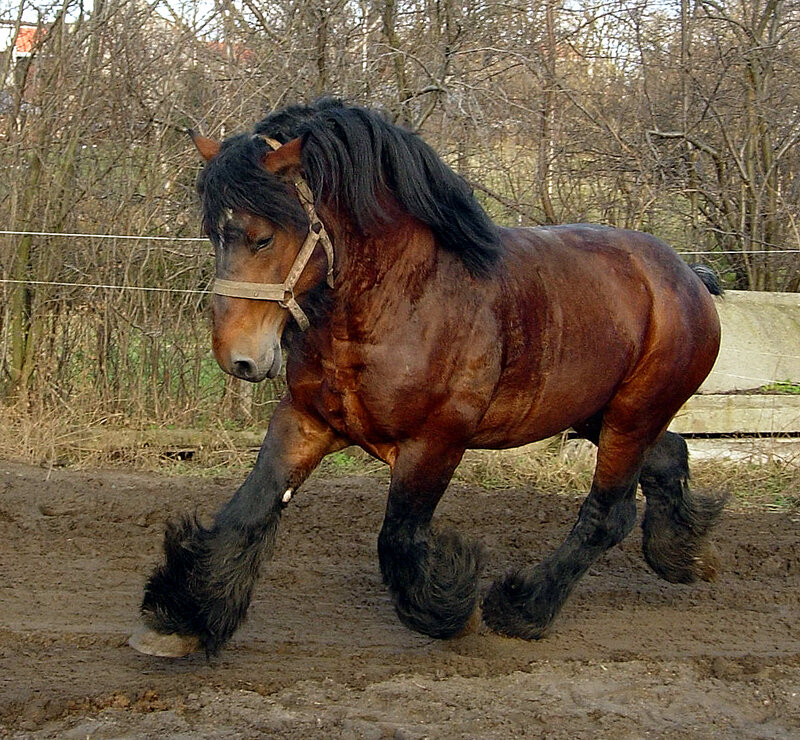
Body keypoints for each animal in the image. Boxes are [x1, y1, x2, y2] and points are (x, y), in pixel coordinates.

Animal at [129, 99, 724, 658]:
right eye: (214, 235)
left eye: (261, 238)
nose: (239, 358)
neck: (397, 303)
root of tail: (687, 276)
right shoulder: (306, 420)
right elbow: (248, 511)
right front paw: (181, 619)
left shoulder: (435, 442)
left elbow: (398, 540)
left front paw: (452, 608)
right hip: (596, 415)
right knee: (668, 457)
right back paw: (685, 554)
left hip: (632, 414)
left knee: (608, 513)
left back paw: (523, 608)